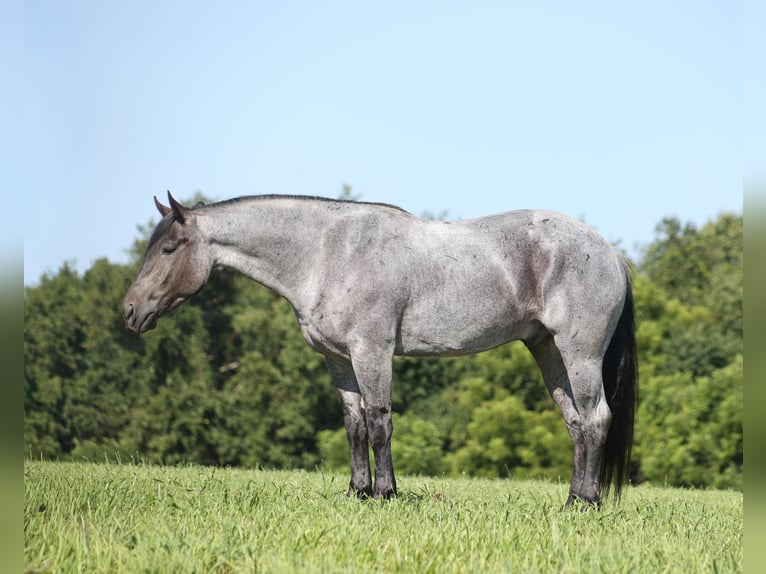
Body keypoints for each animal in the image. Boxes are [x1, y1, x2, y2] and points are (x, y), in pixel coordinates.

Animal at [123, 192, 637, 506]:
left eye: (168, 248)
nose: (129, 310)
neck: (326, 253)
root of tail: (611, 253)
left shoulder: (372, 351)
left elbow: (379, 423)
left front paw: (386, 493)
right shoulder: (338, 360)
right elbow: (353, 426)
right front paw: (358, 491)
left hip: (580, 353)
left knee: (596, 419)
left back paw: (588, 503)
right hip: (548, 351)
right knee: (575, 423)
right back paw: (570, 501)